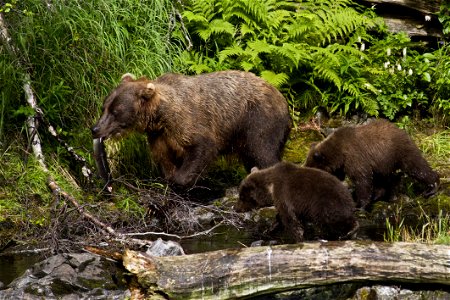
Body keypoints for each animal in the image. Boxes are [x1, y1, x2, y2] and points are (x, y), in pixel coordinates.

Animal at [90, 71, 292, 186]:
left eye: (116, 111)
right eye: (104, 107)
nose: (95, 129)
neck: (160, 116)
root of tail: (283, 99)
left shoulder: (189, 122)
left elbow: (202, 147)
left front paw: (182, 179)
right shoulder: (159, 136)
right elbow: (164, 158)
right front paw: (169, 176)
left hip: (257, 120)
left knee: (263, 152)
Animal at [306, 118, 440, 210]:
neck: (339, 153)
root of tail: (401, 129)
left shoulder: (355, 157)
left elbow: (362, 179)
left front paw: (359, 205)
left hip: (398, 151)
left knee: (416, 166)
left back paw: (431, 187)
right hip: (384, 161)